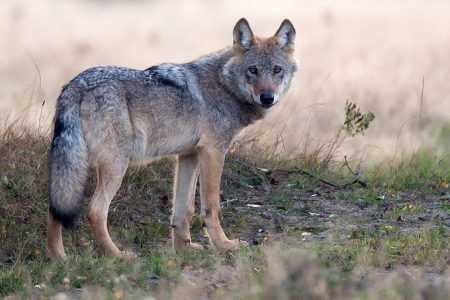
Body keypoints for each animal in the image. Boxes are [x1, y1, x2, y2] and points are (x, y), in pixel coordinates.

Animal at [46, 17, 298, 258]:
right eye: (253, 70)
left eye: (277, 70)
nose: (267, 97)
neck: (223, 85)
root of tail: (76, 84)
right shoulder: (214, 151)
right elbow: (211, 205)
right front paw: (224, 245)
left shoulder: (189, 156)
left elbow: (183, 210)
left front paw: (185, 249)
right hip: (115, 165)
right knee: (95, 211)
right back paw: (117, 255)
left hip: (70, 167)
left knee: (56, 206)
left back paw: (59, 259)